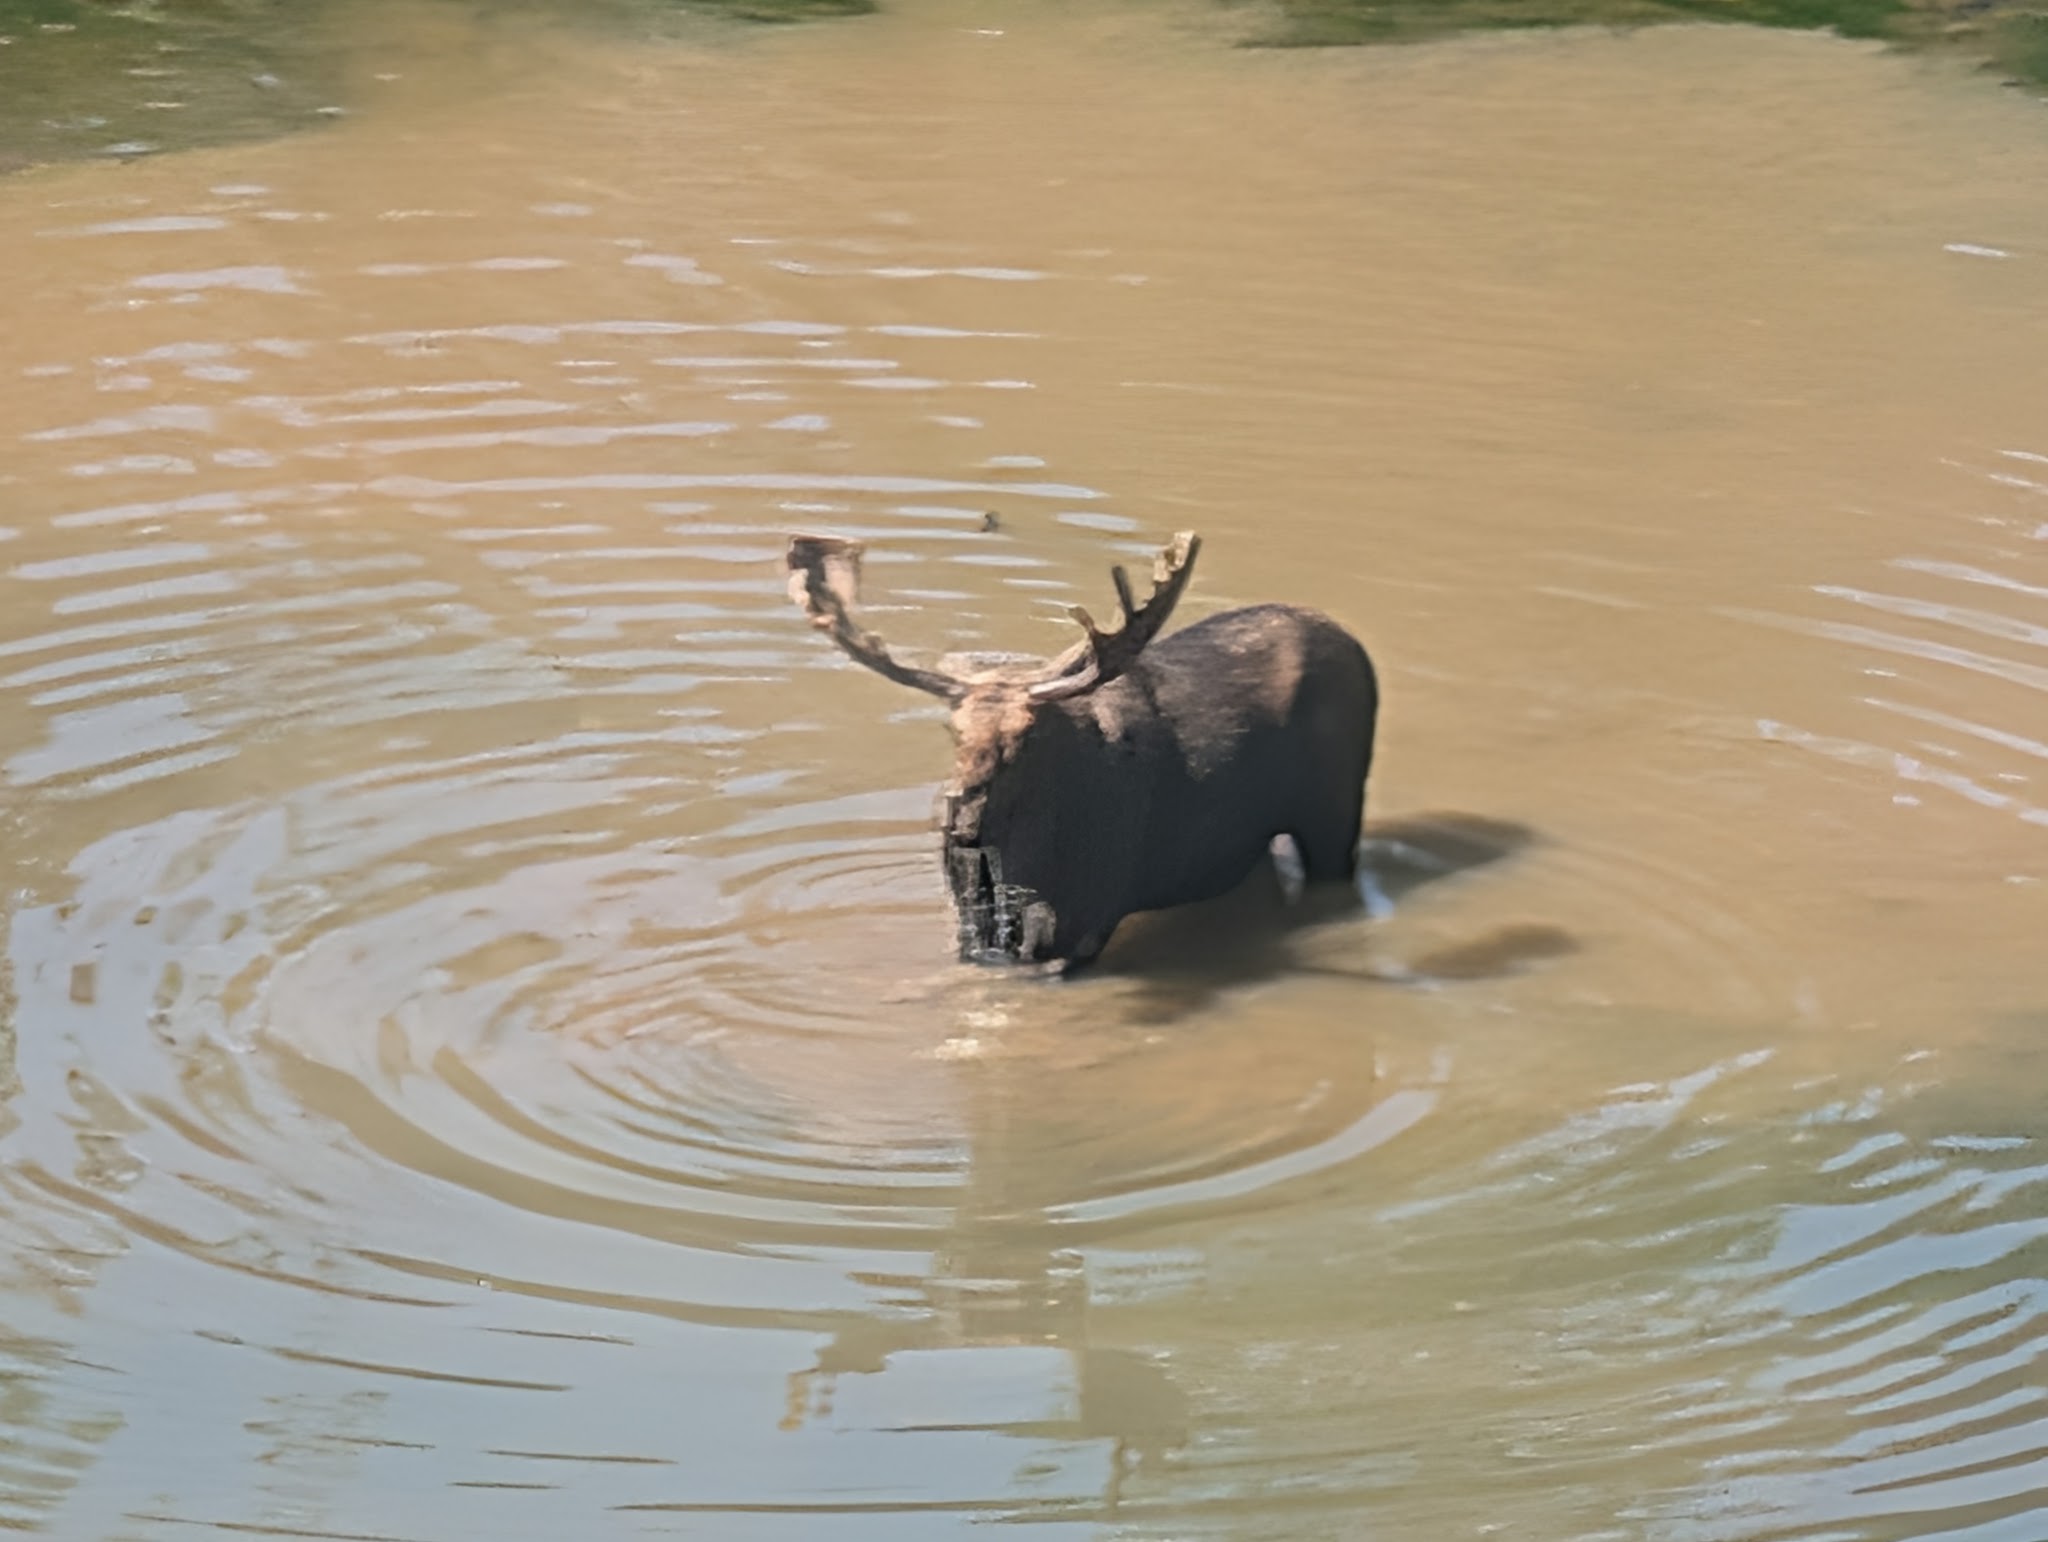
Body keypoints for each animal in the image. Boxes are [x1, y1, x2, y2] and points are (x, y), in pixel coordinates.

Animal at [785, 531, 1379, 969]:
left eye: (1025, 736)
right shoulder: (971, 928)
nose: (960, 821)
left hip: (1335, 814)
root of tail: (1356, 645)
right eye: (953, 730)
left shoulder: (1085, 920)